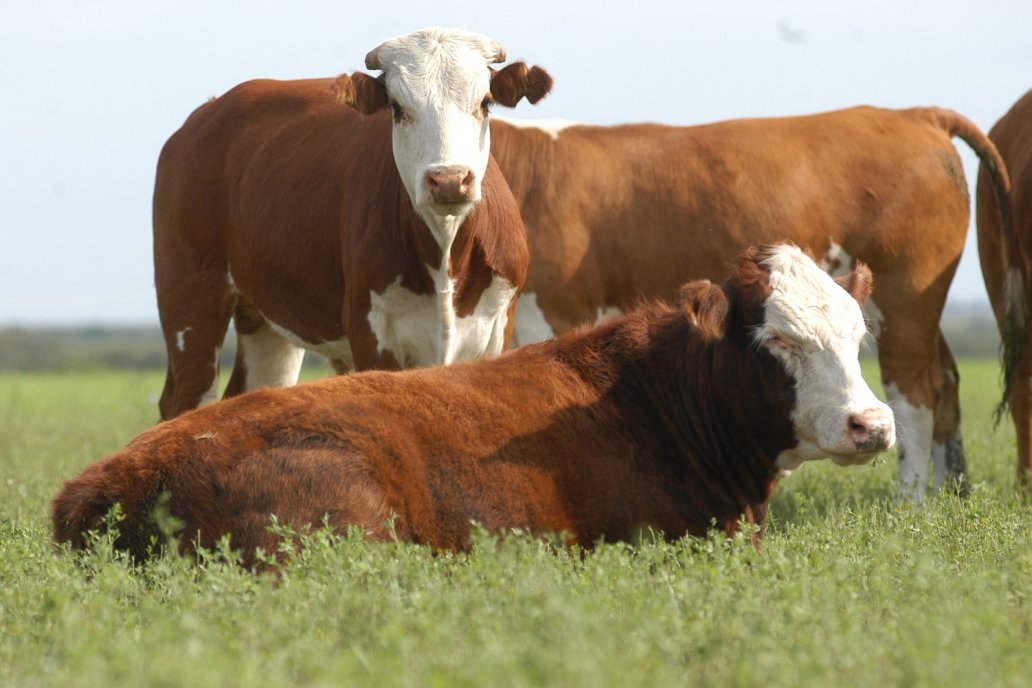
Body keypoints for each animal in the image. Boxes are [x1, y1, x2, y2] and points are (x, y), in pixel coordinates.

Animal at [151, 26, 553, 420]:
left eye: (484, 102)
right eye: (397, 107)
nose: (449, 179)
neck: (445, 255)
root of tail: (207, 113)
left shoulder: (498, 323)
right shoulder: (369, 328)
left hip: (266, 318)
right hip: (190, 298)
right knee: (185, 397)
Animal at [489, 105, 1007, 503]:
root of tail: (914, 113)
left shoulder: (549, 314)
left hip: (907, 309)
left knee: (915, 398)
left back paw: (911, 504)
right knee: (945, 383)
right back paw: (950, 490)